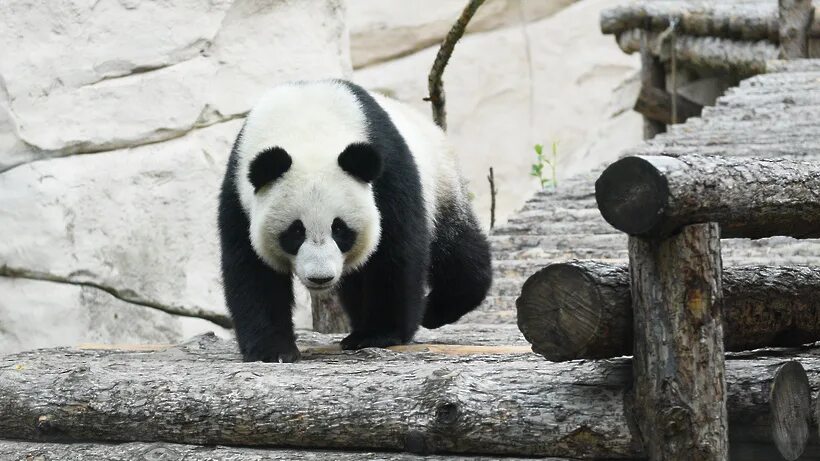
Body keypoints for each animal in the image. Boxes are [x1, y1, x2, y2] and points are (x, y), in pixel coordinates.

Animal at [216, 79, 494, 362]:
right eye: (295, 232)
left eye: (340, 229)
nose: (320, 277)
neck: (309, 128)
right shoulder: (239, 193)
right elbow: (252, 270)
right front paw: (273, 350)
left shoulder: (388, 172)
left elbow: (394, 251)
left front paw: (379, 335)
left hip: (440, 181)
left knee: (454, 246)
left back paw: (440, 308)